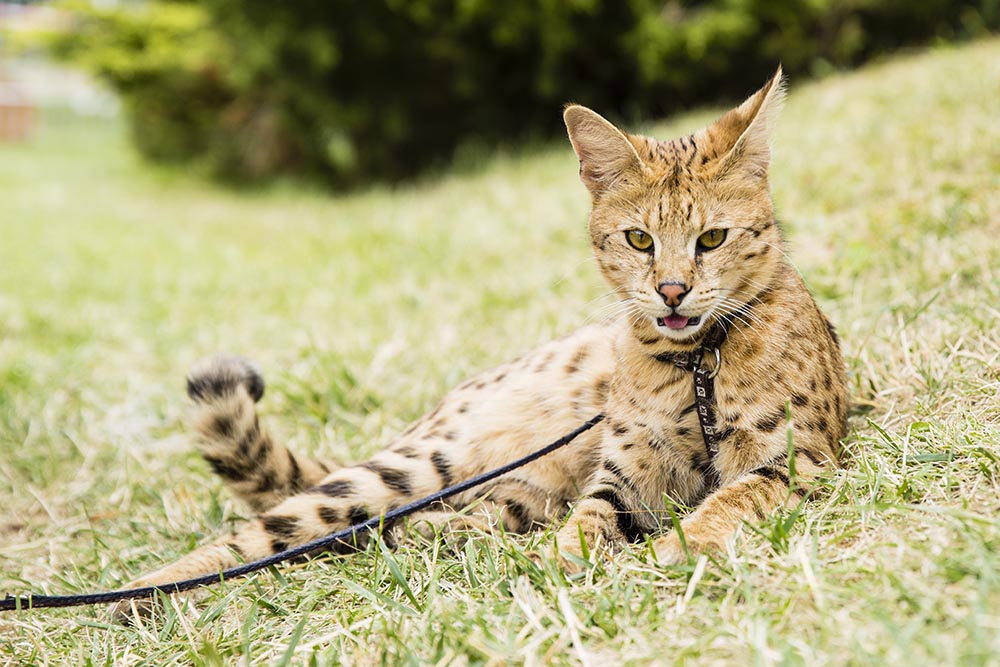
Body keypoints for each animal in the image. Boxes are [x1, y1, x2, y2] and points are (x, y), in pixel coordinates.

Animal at [111, 68, 844, 620]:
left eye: (712, 239)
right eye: (639, 239)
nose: (670, 291)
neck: (696, 362)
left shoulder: (797, 457)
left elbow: (728, 500)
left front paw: (674, 551)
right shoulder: (624, 475)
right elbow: (590, 521)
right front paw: (565, 564)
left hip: (513, 487)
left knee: (421, 522)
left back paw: (434, 534)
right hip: (419, 463)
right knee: (267, 534)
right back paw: (140, 593)